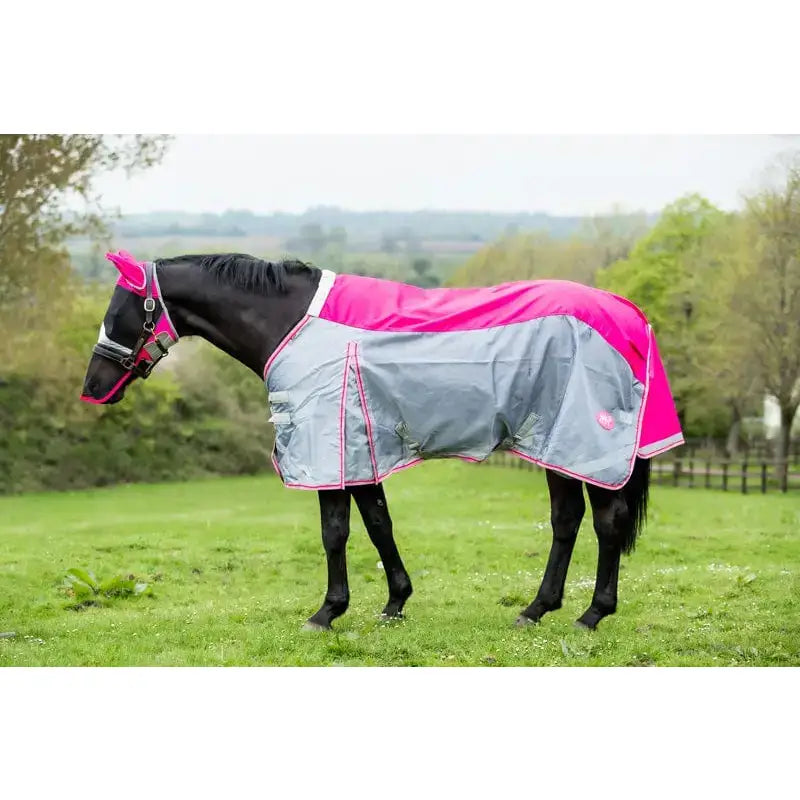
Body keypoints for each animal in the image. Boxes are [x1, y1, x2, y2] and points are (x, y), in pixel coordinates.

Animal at [81, 250, 684, 631]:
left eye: (121, 311)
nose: (91, 389)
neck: (292, 325)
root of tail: (628, 314)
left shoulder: (327, 447)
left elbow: (335, 533)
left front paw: (327, 612)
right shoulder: (359, 449)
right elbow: (377, 524)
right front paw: (395, 602)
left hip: (584, 444)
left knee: (606, 524)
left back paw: (592, 614)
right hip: (552, 445)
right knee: (567, 522)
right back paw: (537, 610)